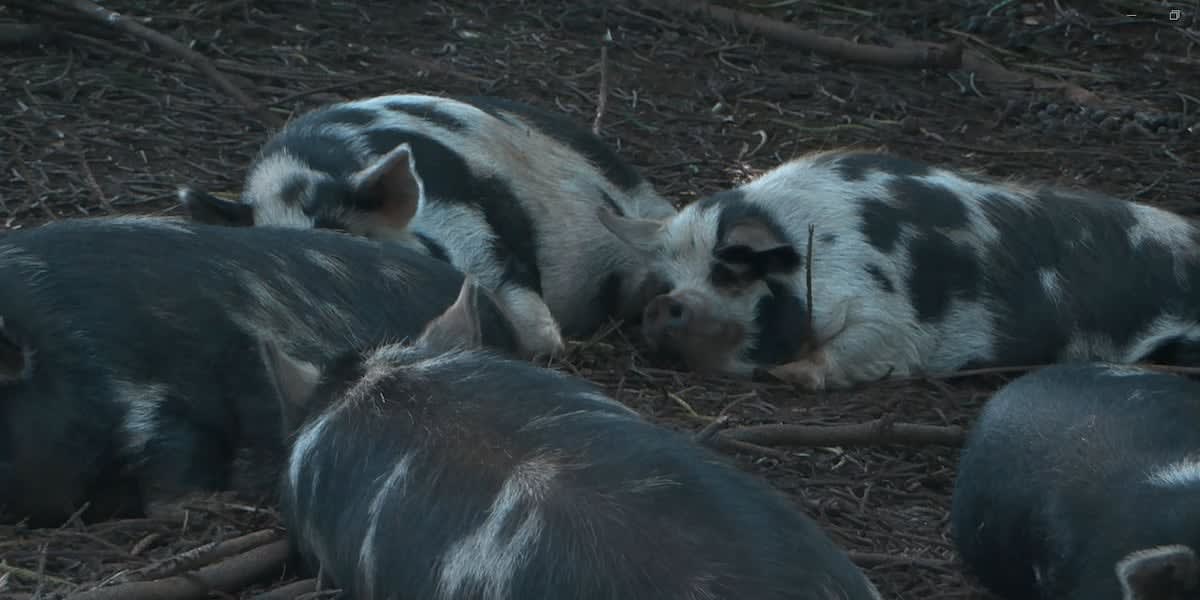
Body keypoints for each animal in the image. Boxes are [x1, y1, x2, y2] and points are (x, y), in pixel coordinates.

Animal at [596, 149, 1200, 390]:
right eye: (668, 281)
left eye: (729, 272)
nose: (662, 305)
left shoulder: (889, 317)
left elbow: (856, 350)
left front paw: (786, 376)